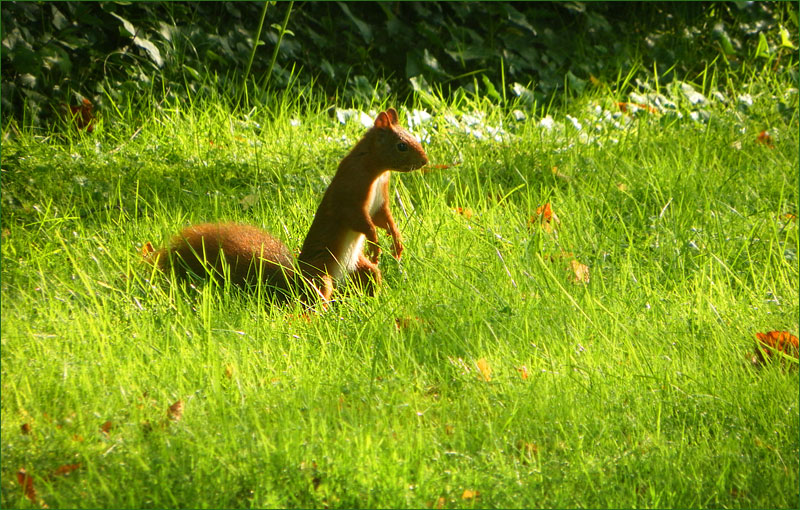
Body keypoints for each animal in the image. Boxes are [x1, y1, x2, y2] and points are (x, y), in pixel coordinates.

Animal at [154, 108, 429, 303]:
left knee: (371, 277)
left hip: (360, 270)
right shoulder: (351, 194)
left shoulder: (380, 200)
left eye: (413, 137)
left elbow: (385, 218)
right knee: (315, 297)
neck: (376, 170)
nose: (425, 161)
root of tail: (295, 278)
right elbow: (362, 221)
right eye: (402, 145)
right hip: (320, 276)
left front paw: (396, 241)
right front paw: (375, 243)